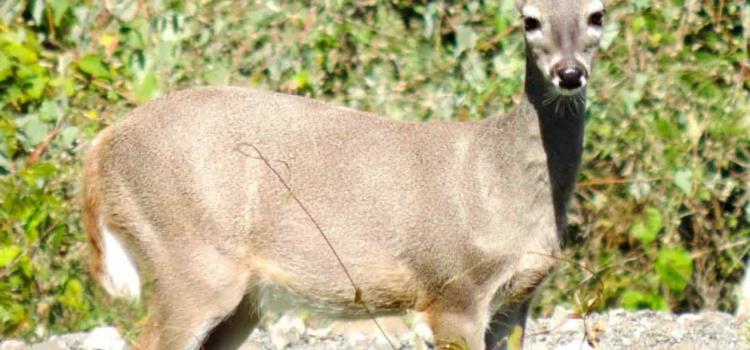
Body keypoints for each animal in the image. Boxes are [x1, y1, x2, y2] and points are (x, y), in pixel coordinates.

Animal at [82, 1, 608, 348]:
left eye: (597, 15)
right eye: (530, 19)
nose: (569, 73)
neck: (501, 179)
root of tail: (101, 146)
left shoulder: (518, 299)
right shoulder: (453, 290)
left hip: (240, 297)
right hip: (189, 258)